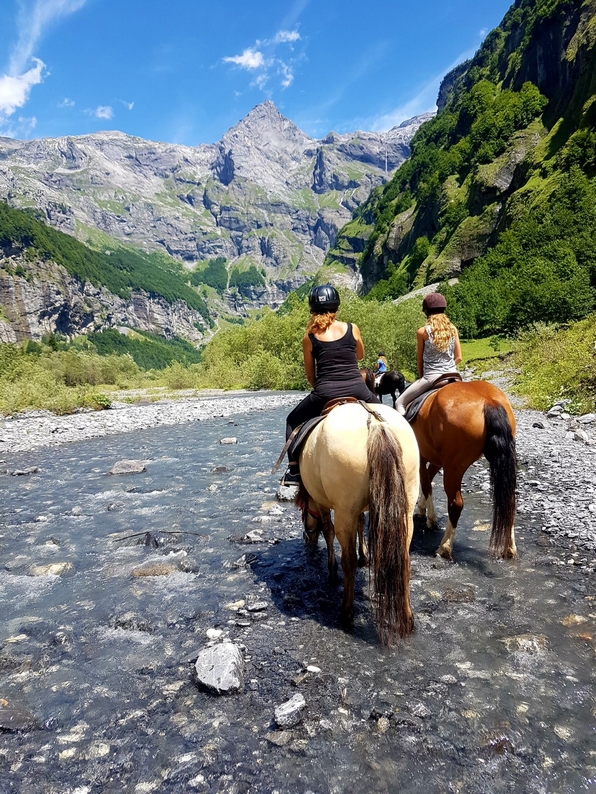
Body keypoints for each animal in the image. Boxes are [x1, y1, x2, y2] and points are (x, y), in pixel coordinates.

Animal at [294, 401, 420, 646]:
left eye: (304, 511)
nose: (307, 540)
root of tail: (375, 422)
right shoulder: (361, 509)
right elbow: (362, 522)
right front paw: (365, 555)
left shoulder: (324, 504)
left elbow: (328, 531)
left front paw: (332, 569)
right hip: (406, 508)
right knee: (405, 559)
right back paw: (408, 618)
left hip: (344, 510)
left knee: (348, 561)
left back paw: (345, 612)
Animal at [409, 381, 517, 561]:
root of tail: (489, 402)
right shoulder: (437, 460)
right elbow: (428, 479)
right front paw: (421, 509)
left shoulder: (423, 457)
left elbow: (426, 484)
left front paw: (430, 518)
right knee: (510, 502)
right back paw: (509, 548)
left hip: (454, 467)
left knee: (456, 503)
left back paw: (445, 547)